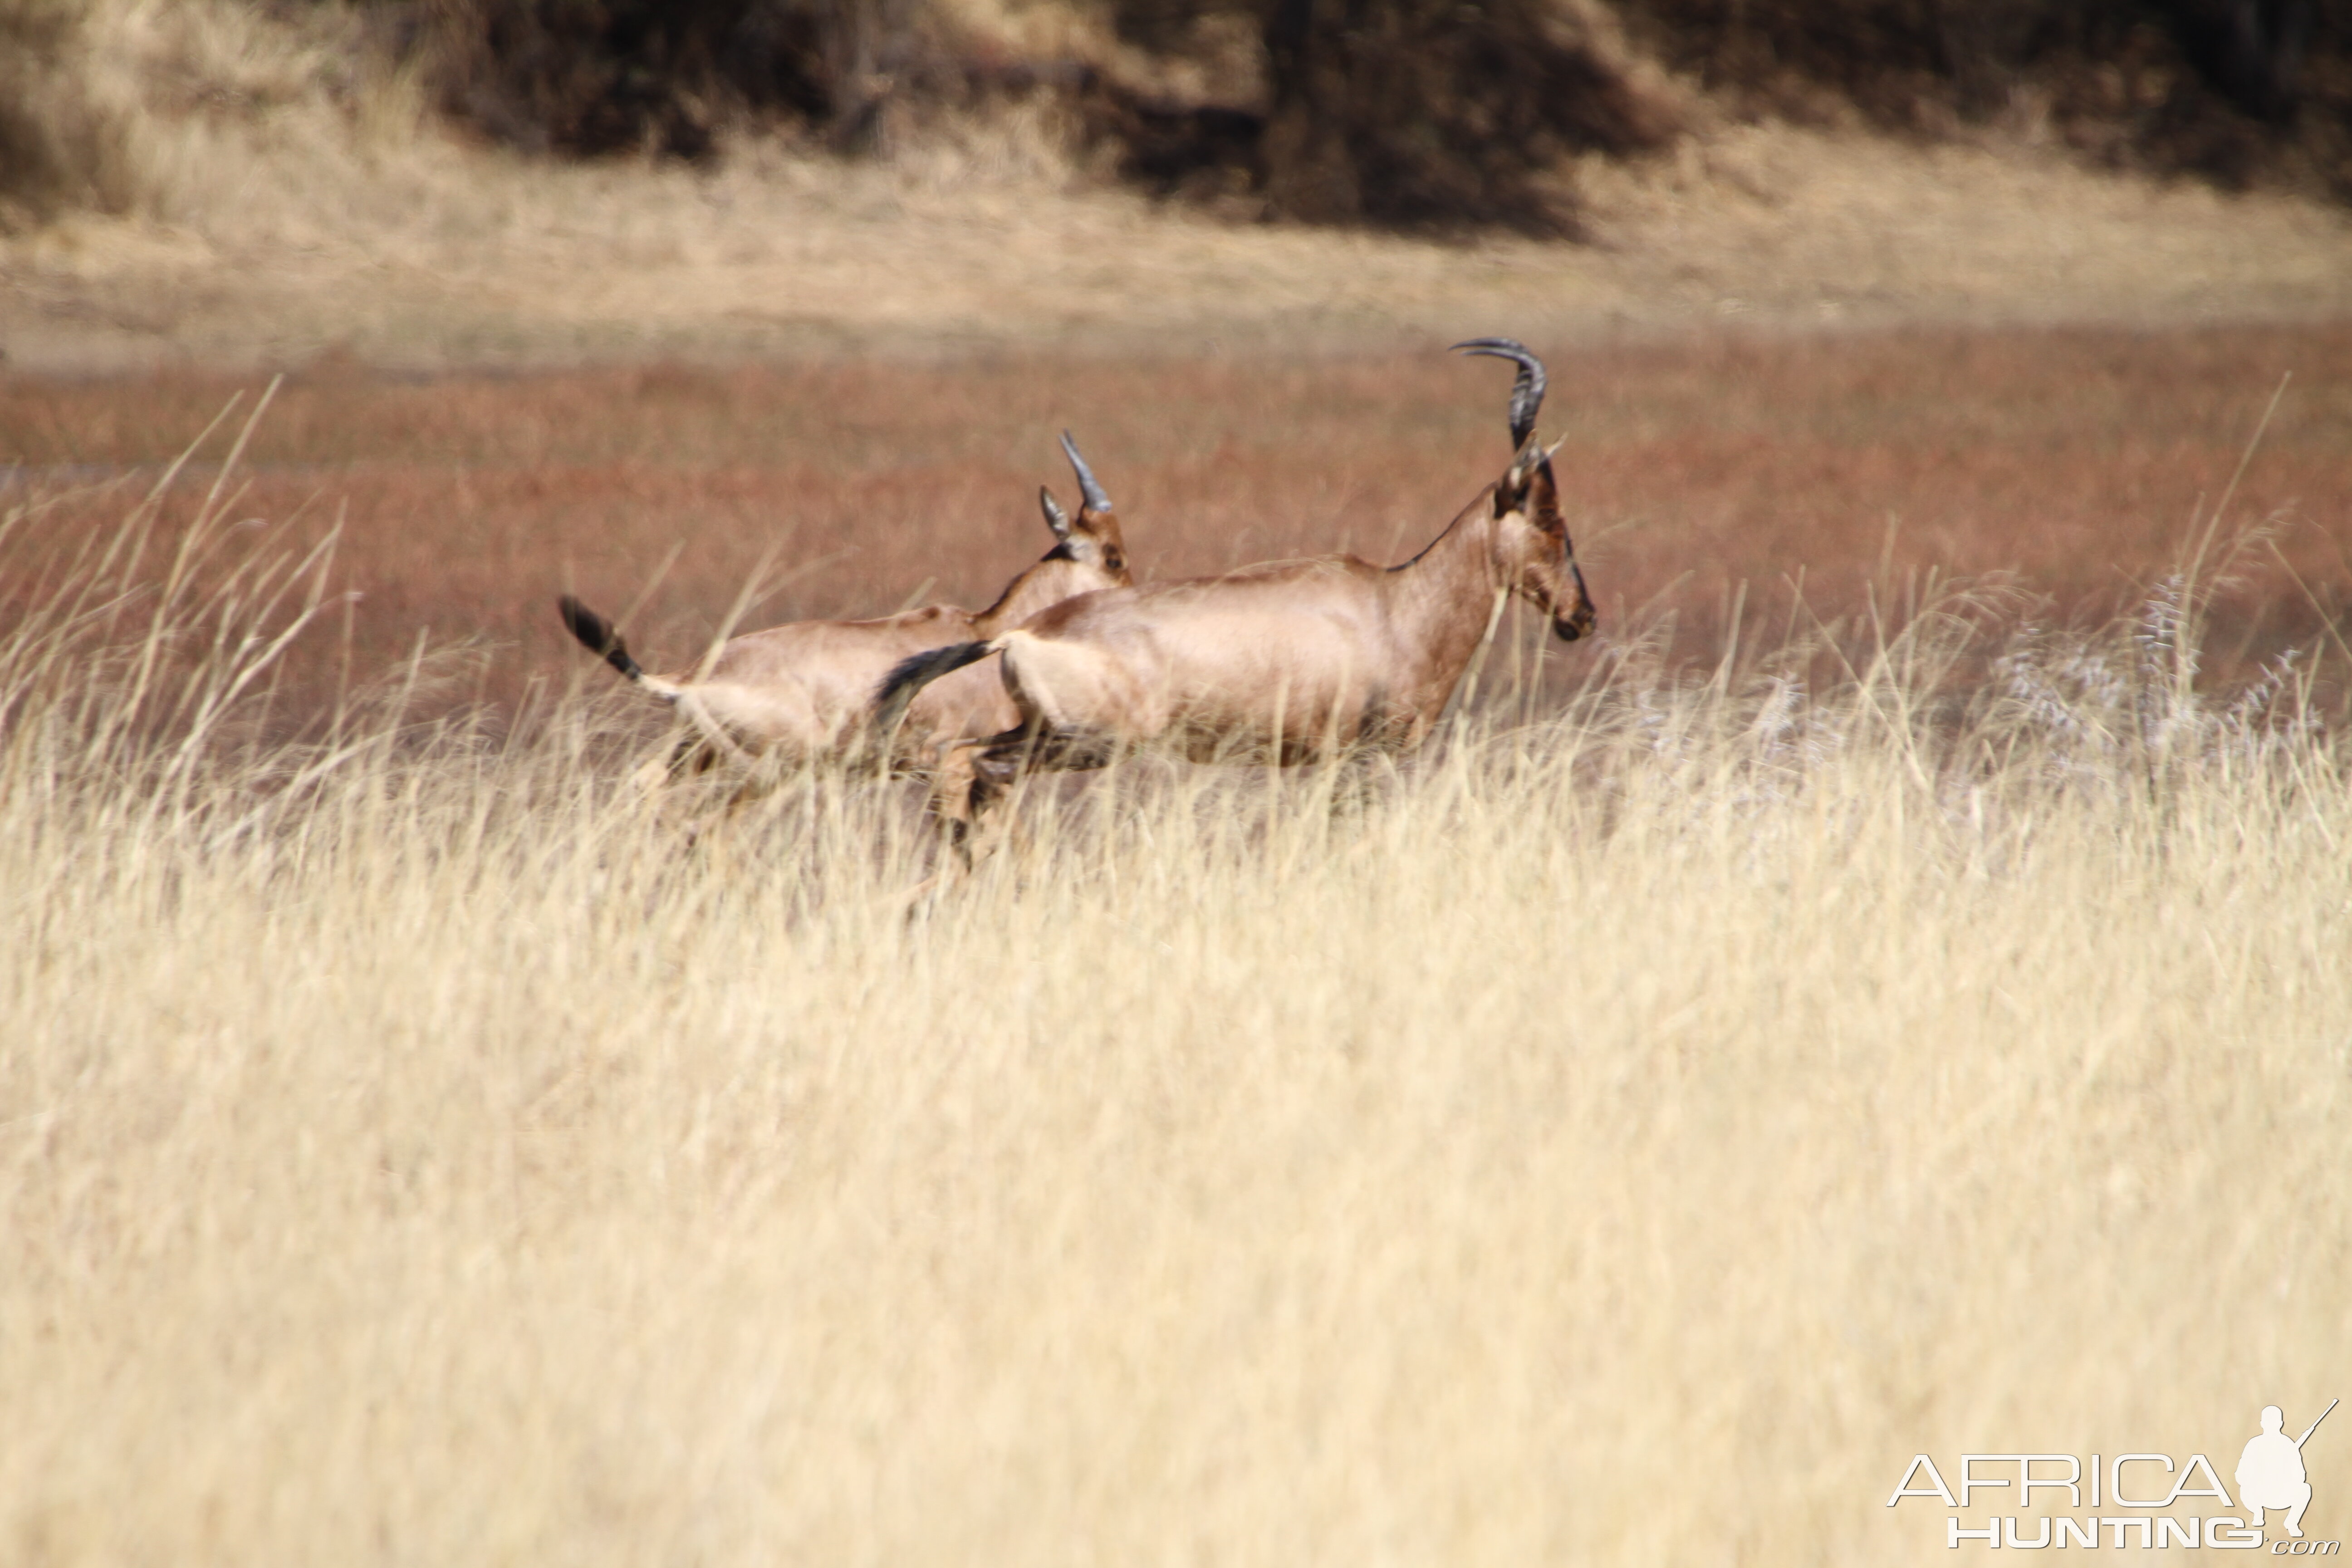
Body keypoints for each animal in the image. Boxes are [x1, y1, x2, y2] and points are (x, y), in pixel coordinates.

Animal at [884, 338, 1599, 865]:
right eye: (1549, 515)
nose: (1581, 616)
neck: (1393, 606)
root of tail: (1017, 634)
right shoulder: (1355, 759)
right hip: (1085, 742)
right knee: (978, 769)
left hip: (1039, 730)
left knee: (966, 765)